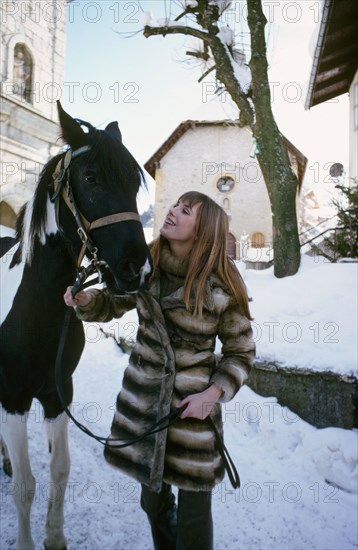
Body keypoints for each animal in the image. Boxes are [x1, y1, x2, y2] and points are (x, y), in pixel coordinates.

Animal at [0, 103, 151, 550]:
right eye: (90, 178)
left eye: (133, 182)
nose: (136, 270)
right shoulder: (13, 397)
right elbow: (26, 486)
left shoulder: (57, 393)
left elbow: (60, 469)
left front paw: (55, 537)